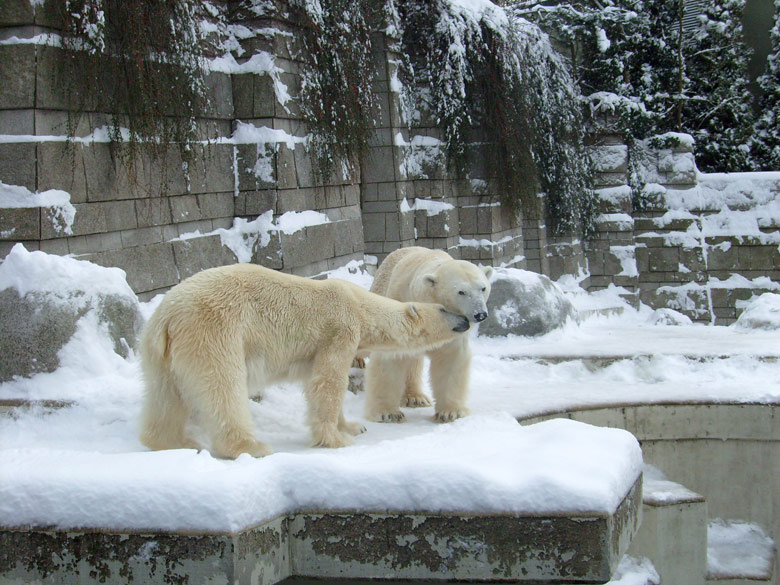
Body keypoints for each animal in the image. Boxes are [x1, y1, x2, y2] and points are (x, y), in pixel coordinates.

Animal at [139, 262, 470, 458]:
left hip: (160, 351)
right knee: (222, 388)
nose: (467, 320)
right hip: (213, 332)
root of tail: (167, 317)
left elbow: (319, 382)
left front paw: (351, 427)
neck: (361, 305)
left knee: (165, 394)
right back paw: (250, 446)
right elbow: (327, 382)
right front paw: (336, 439)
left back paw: (173, 442)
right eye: (444, 309)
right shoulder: (340, 329)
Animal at [364, 248, 494, 424]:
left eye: (483, 288)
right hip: (380, 290)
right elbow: (391, 357)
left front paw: (450, 413)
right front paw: (388, 413)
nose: (480, 314)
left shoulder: (453, 327)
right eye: (461, 291)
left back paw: (415, 398)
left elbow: (450, 361)